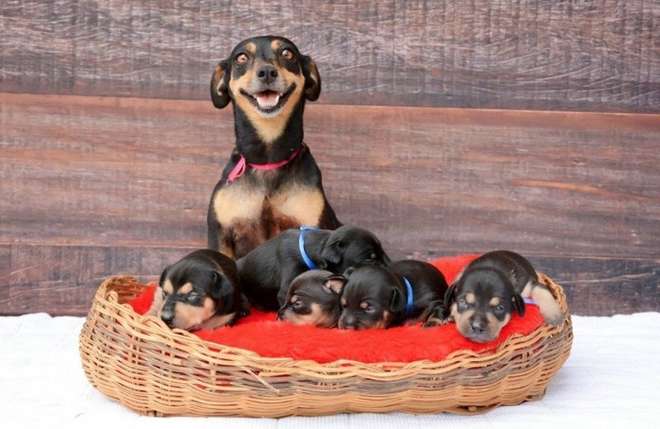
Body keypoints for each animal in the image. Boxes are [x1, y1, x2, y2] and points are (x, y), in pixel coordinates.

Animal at [426, 249, 564, 342]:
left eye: (500, 308)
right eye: (462, 302)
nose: (477, 327)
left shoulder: (529, 284)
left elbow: (543, 290)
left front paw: (554, 315)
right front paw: (449, 316)